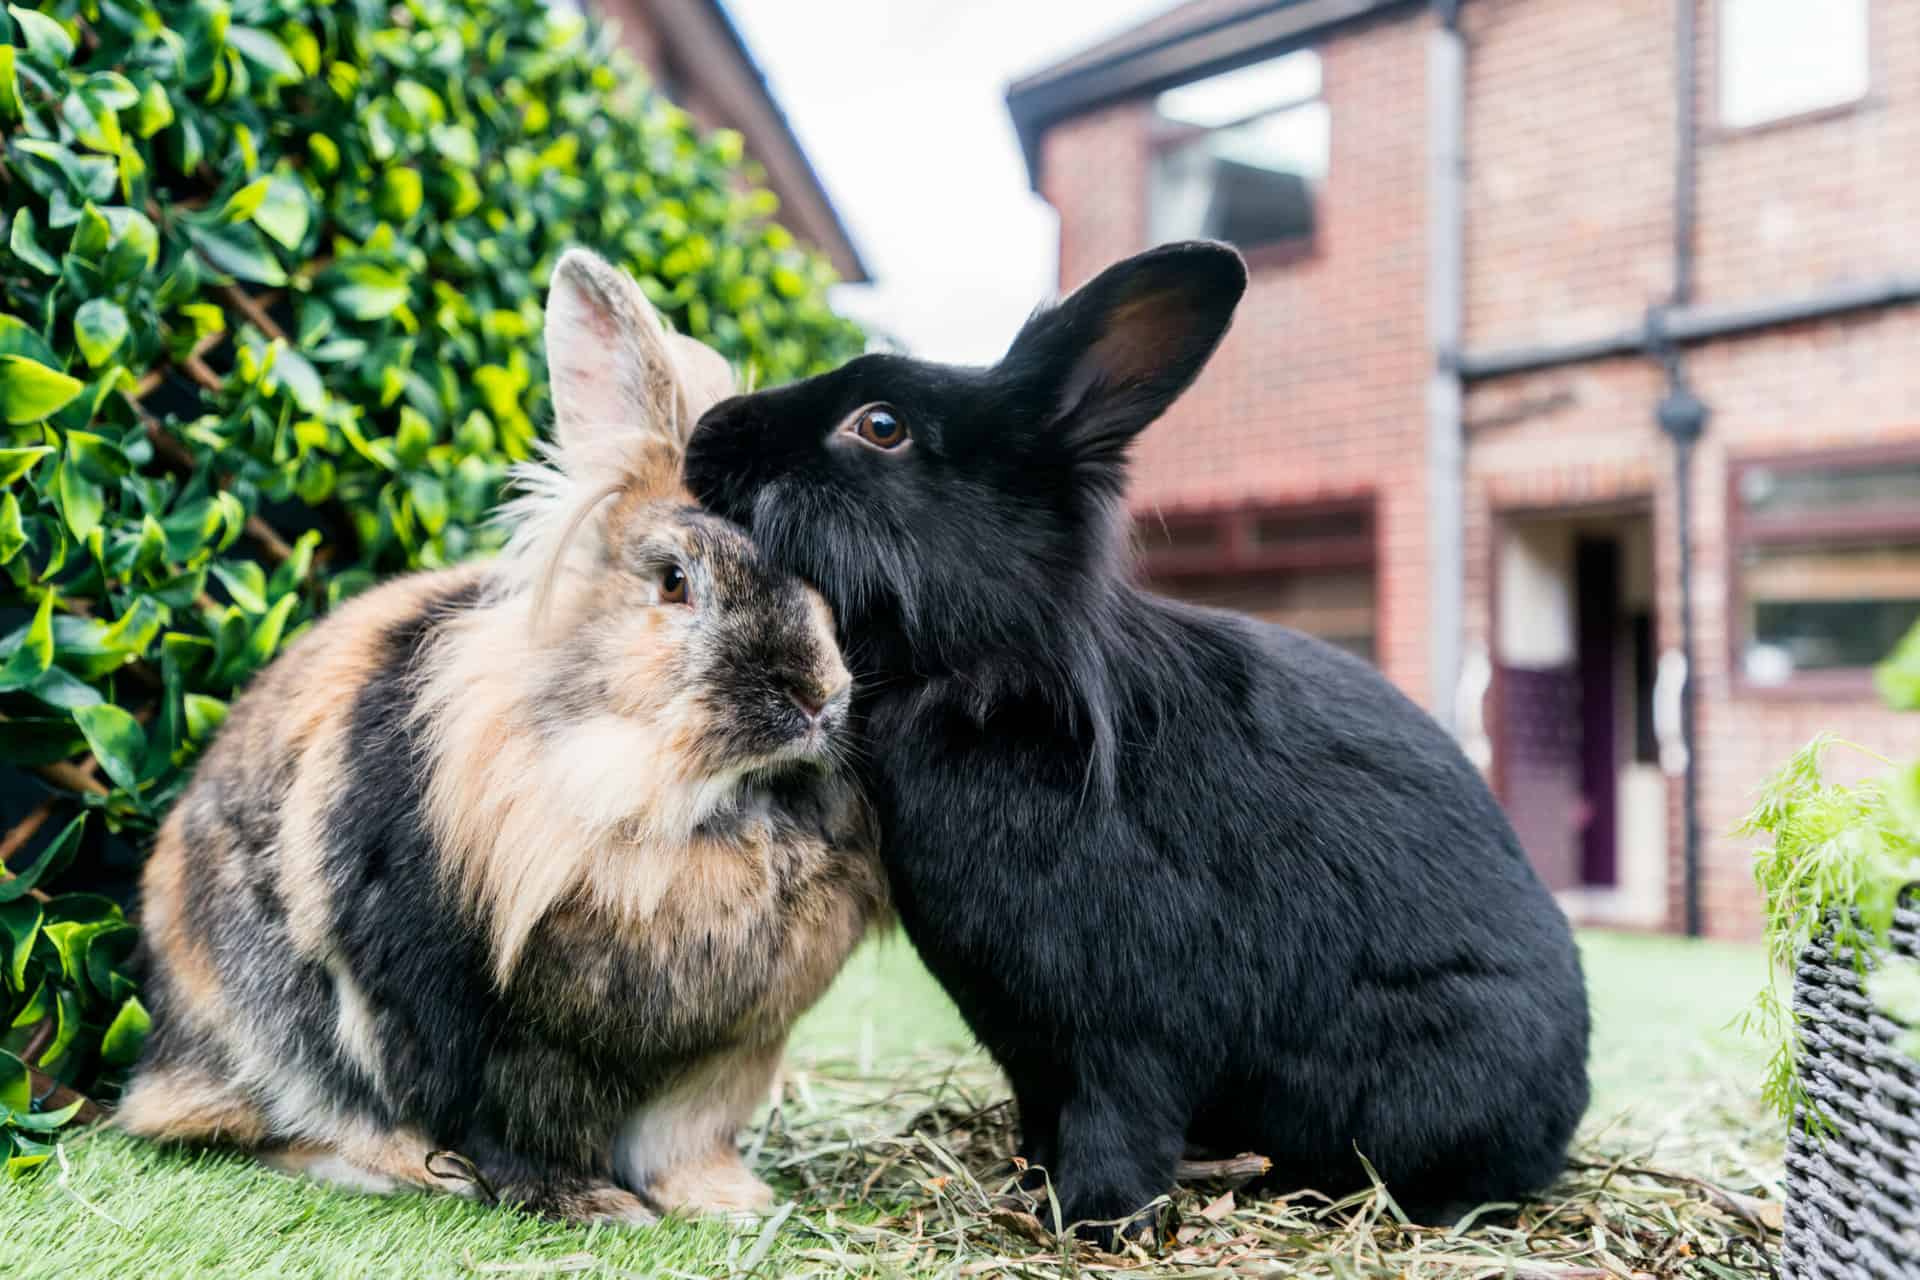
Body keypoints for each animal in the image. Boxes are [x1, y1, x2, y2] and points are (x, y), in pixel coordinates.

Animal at [117, 249, 888, 1224]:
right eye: (674, 581)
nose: (819, 697)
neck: (669, 800)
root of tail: (162, 1059)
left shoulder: (725, 1058)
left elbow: (685, 1143)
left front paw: (730, 1204)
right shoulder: (485, 1033)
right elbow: (516, 1128)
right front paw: (591, 1206)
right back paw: (398, 1167)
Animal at [683, 241, 1591, 1242]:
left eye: (880, 425)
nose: (707, 435)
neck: (983, 673)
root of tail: (1567, 1099)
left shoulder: (1131, 1027)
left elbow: (1122, 1117)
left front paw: (1098, 1224)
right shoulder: (1028, 1044)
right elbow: (1045, 1112)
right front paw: (1034, 1188)